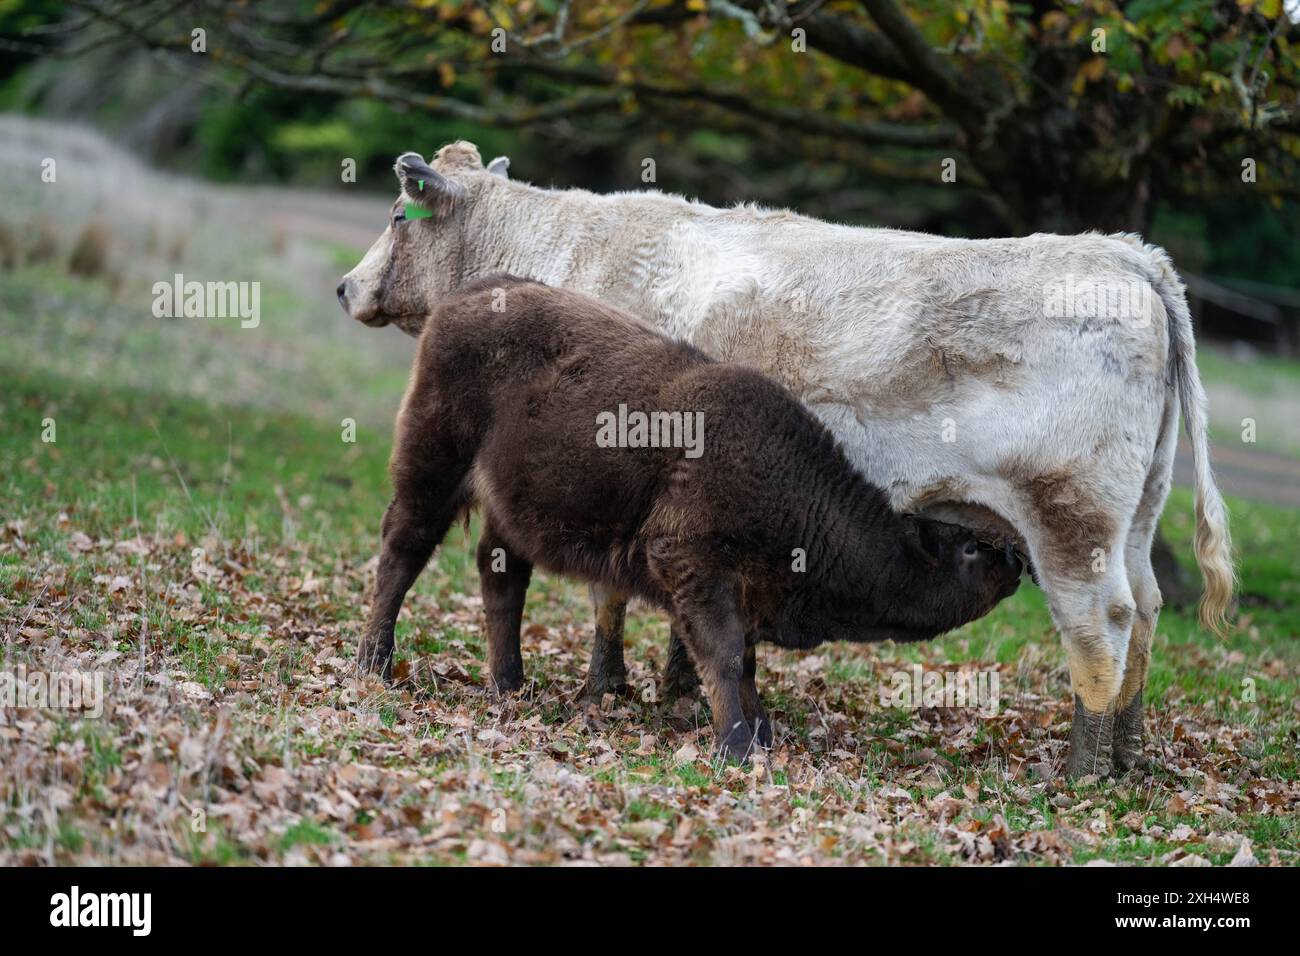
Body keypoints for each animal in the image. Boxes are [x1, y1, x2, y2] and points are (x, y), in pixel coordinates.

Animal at [359, 276, 1024, 761]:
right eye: (969, 548)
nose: (1018, 561)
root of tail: (470, 294)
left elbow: (745, 662)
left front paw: (761, 734)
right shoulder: (691, 564)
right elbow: (725, 656)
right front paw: (736, 748)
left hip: (511, 511)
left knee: (501, 578)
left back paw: (510, 683)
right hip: (432, 468)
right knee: (403, 548)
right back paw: (375, 663)